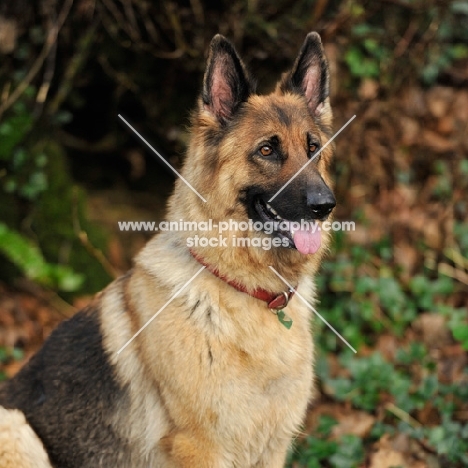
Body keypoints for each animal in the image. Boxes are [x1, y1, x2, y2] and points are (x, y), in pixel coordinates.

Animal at [0, 31, 336, 466]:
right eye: (267, 150)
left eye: (314, 148)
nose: (325, 205)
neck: (246, 290)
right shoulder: (199, 447)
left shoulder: (272, 449)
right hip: (14, 425)